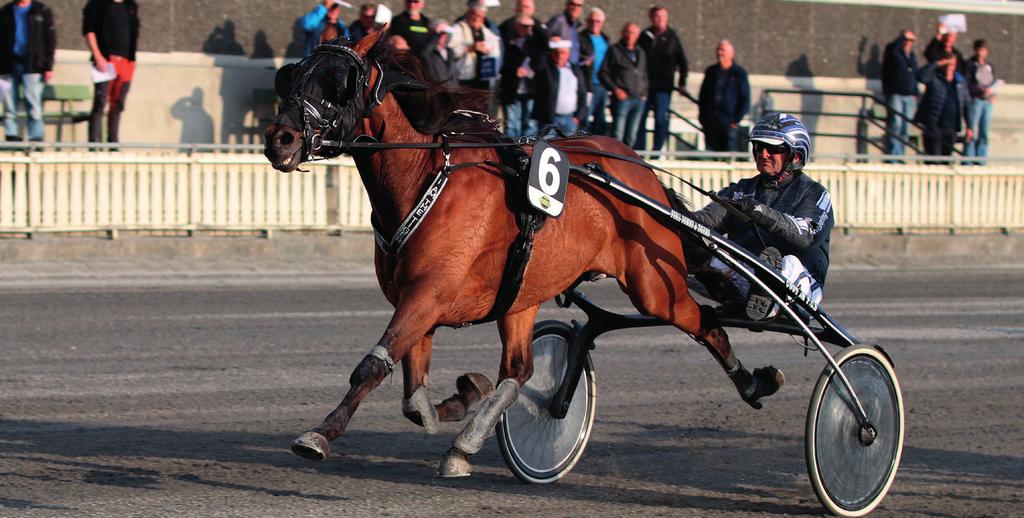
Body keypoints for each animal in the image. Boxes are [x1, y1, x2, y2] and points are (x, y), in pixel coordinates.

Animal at [264, 32, 782, 475]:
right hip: (524, 296)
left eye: (338, 83)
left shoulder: (428, 294)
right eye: (291, 75)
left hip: (655, 287)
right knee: (519, 370)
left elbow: (373, 366)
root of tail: (642, 172)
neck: (424, 180)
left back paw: (754, 382)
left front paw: (319, 434)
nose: (279, 139)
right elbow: (414, 397)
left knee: (705, 322)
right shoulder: (417, 300)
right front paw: (463, 399)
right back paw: (467, 442)